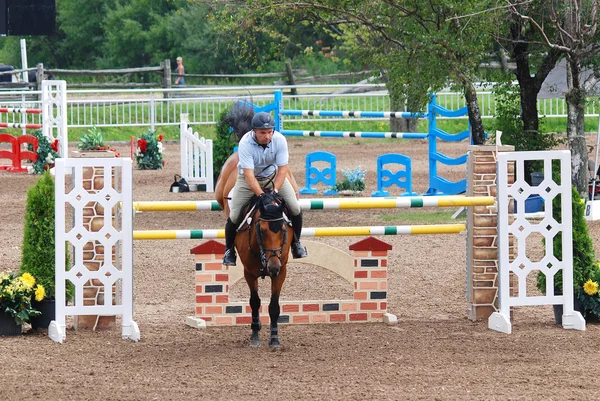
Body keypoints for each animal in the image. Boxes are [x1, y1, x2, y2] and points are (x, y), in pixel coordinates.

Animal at [217, 153, 296, 346]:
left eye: (284, 229)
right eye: (262, 230)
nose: (272, 268)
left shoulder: (282, 271)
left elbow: (274, 305)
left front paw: (274, 338)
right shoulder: (249, 272)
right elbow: (254, 301)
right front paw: (254, 334)